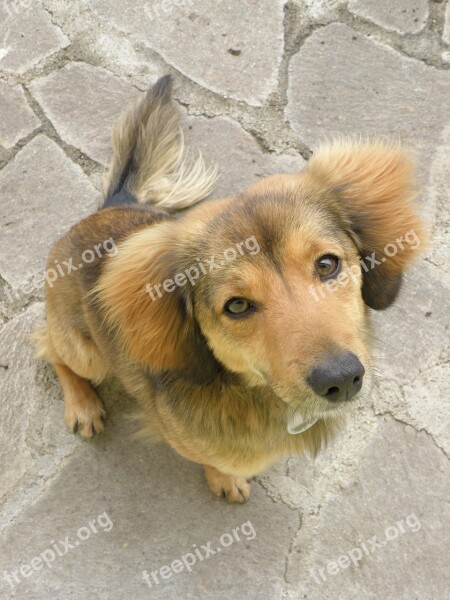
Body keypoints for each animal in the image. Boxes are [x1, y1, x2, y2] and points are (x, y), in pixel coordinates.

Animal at [33, 77, 428, 504]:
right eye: (236, 305)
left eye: (327, 264)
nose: (340, 379)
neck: (253, 393)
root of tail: (106, 208)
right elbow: (215, 460)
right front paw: (225, 479)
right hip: (88, 353)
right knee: (48, 347)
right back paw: (83, 405)